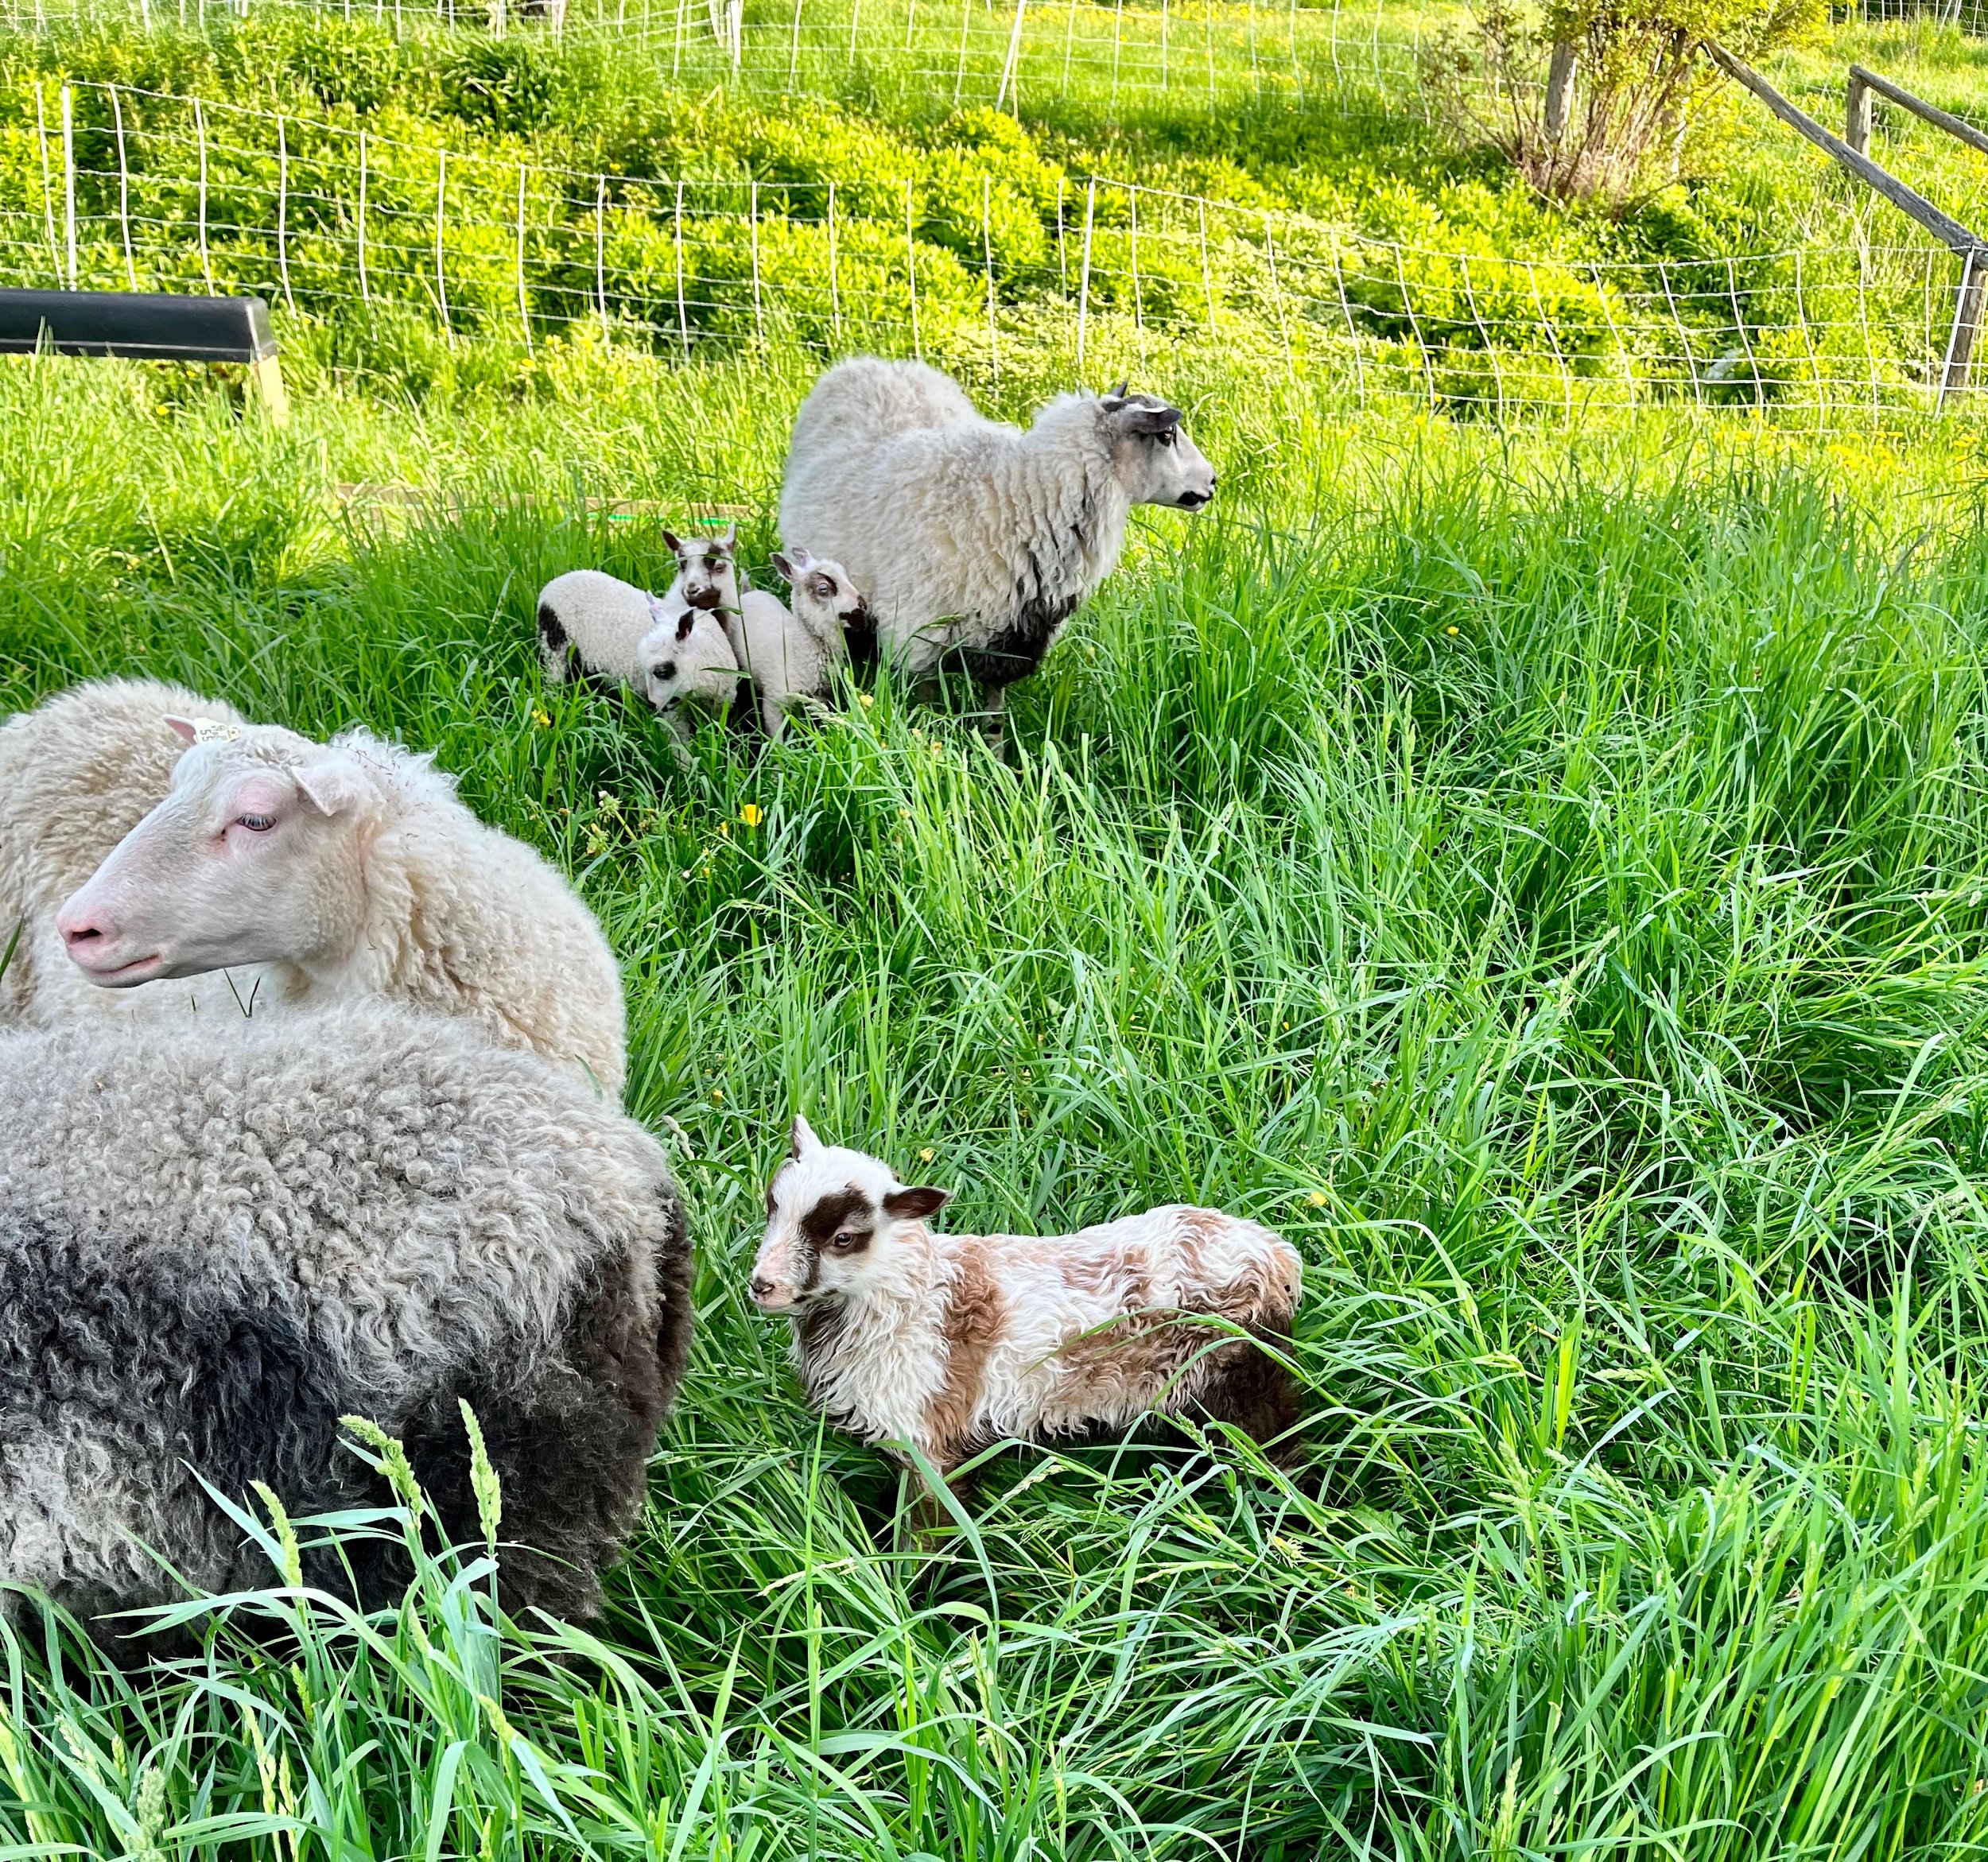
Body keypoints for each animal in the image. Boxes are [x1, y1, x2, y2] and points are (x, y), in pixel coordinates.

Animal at [536, 569, 742, 739]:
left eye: (662, 671)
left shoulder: (721, 703)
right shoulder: (672, 711)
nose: (651, 705)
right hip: (555, 644)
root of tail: (553, 583)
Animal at [727, 548, 871, 740]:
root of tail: (748, 592)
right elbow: (777, 738)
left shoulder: (819, 698)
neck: (795, 650)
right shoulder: (773, 702)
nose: (863, 605)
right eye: (823, 588)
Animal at [749, 1118, 1301, 1485]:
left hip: (1242, 1375)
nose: (761, 1285)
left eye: (843, 1238)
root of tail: (1277, 1256)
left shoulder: (928, 1437)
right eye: (773, 1207)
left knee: (1280, 1447)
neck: (910, 1303)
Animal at [777, 361, 1217, 731]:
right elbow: (928, 720)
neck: (1018, 498)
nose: (1213, 482)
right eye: (1167, 435)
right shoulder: (917, 644)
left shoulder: (1010, 644)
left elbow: (993, 723)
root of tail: (865, 361)